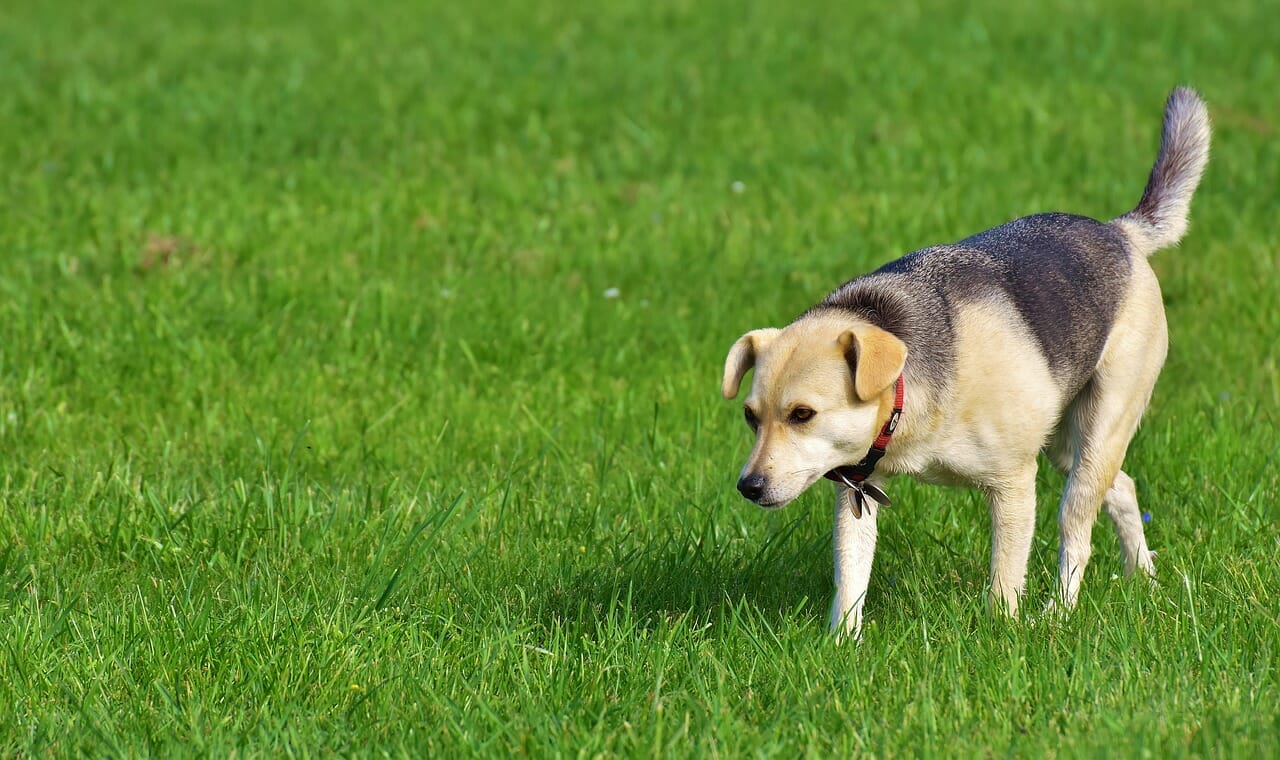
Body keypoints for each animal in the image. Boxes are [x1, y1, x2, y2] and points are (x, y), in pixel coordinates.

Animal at [721, 87, 1208, 639]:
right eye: (750, 417)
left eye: (802, 414)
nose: (748, 486)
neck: (908, 397)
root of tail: (1120, 233)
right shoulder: (856, 493)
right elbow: (850, 574)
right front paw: (841, 643)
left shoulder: (1014, 484)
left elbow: (1006, 576)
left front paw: (1003, 630)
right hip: (1065, 441)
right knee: (1122, 487)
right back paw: (1142, 576)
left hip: (1100, 428)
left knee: (1077, 529)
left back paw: (1059, 611)